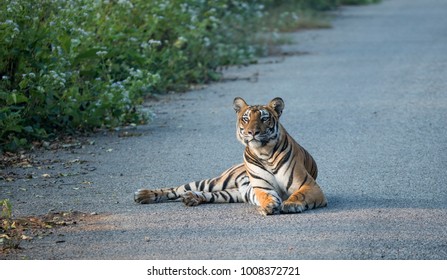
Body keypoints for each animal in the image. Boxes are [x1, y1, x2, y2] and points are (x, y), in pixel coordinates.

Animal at [135, 97, 328, 215]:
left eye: (264, 118)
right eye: (246, 118)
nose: (252, 132)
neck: (264, 153)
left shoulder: (309, 185)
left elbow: (299, 195)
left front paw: (290, 204)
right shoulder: (262, 187)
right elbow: (267, 196)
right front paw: (270, 205)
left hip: (230, 193)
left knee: (206, 194)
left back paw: (191, 198)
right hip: (214, 182)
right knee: (178, 189)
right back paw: (143, 195)